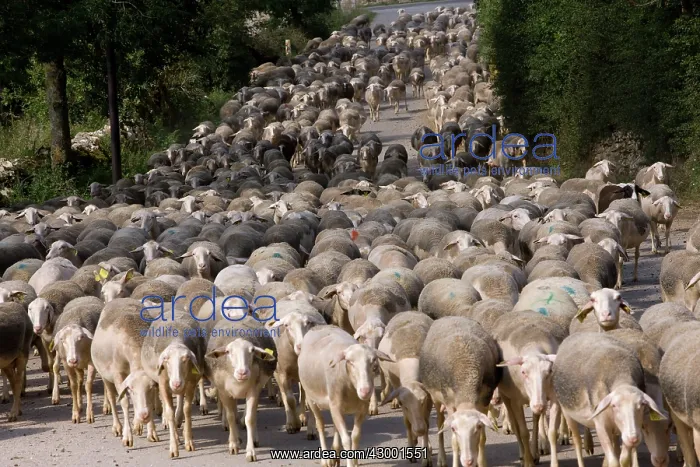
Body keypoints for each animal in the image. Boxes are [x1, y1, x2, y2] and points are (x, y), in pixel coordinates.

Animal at [204, 316, 277, 461]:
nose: (242, 372)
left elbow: (250, 418)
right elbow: (231, 416)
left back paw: (254, 438)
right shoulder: (224, 392)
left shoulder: (253, 391)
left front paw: (250, 451)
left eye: (252, 351)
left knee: (251, 415)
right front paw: (233, 445)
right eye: (228, 352)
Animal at [298, 325, 394, 466]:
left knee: (335, 426)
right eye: (350, 362)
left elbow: (355, 436)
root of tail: (320, 326)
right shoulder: (336, 406)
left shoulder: (361, 409)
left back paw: (335, 454)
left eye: (373, 361)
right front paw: (349, 463)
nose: (365, 391)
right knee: (320, 424)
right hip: (311, 399)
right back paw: (325, 459)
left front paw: (354, 462)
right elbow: (347, 439)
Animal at [419, 316, 500, 467]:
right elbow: (454, 442)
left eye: (478, 427)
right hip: (436, 398)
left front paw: (481, 462)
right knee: (438, 425)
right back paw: (439, 459)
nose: (468, 461)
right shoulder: (450, 403)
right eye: (453, 429)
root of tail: (449, 317)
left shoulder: (485, 400)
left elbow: (482, 438)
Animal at [552, 332, 667, 467]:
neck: (621, 376)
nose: (633, 438)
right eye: (614, 405)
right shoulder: (601, 426)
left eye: (642, 405)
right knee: (577, 441)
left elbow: (624, 459)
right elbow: (614, 461)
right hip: (567, 413)